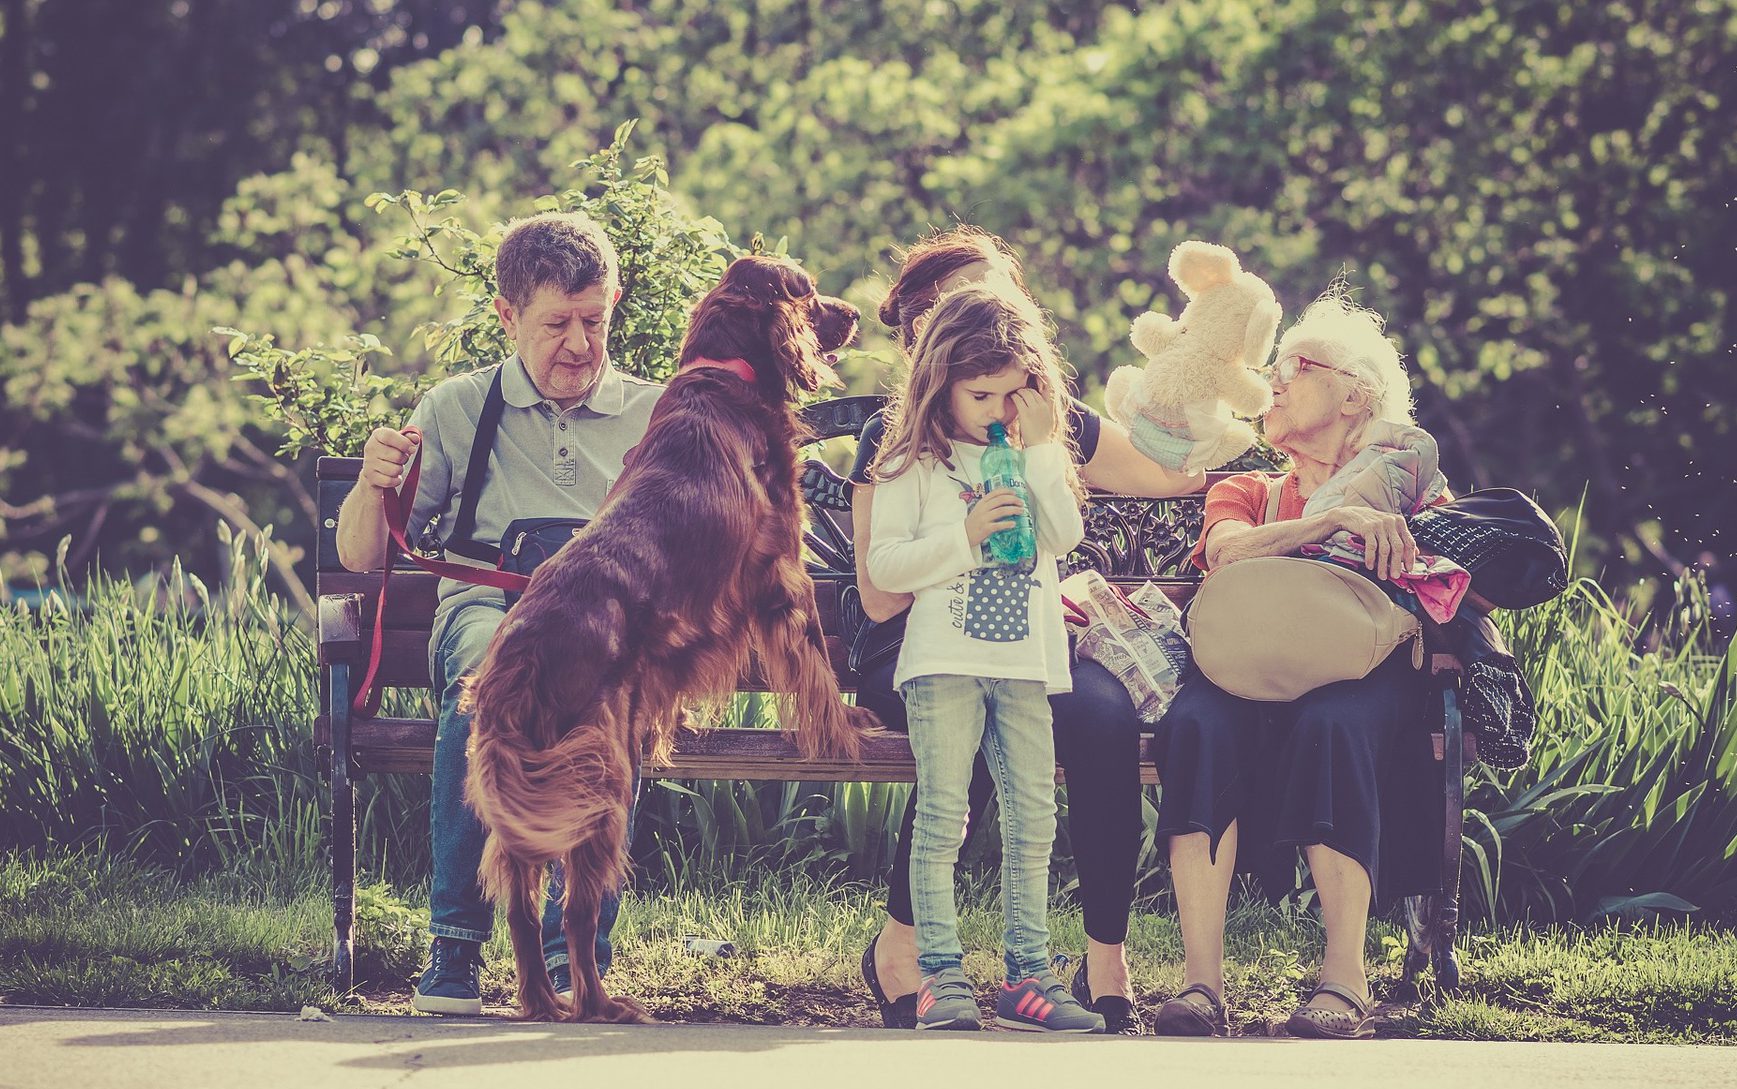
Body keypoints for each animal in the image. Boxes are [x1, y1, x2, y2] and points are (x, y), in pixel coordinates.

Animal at [458, 257, 875, 1021]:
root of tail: (518, 654)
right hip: (599, 777)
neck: (726, 373)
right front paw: (845, 728)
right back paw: (599, 1004)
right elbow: (816, 662)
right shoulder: (781, 571)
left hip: (540, 788)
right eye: (805, 289)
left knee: (523, 905)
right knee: (578, 909)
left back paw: (542, 999)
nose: (855, 312)